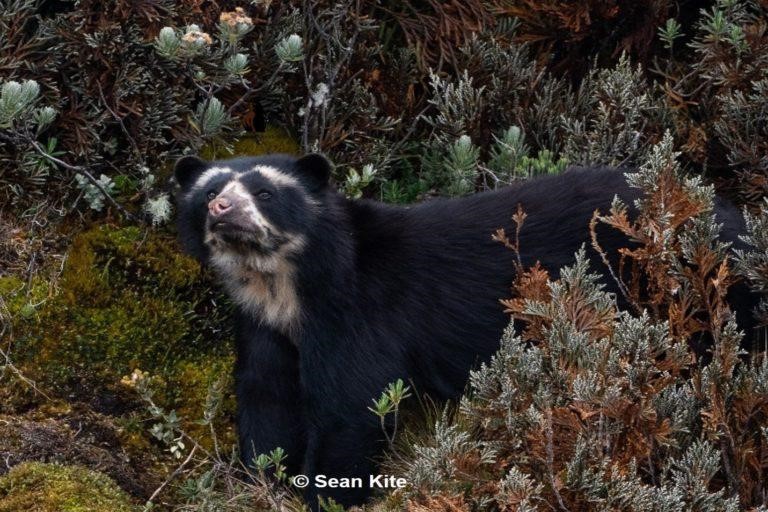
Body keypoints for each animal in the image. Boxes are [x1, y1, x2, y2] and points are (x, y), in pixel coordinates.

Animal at [173, 153, 755, 509]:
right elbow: (266, 397)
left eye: (265, 193)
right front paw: (260, 479)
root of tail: (732, 217)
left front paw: (324, 494)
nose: (222, 209)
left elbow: (349, 402)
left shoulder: (361, 311)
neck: (286, 284)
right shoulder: (262, 326)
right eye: (209, 190)